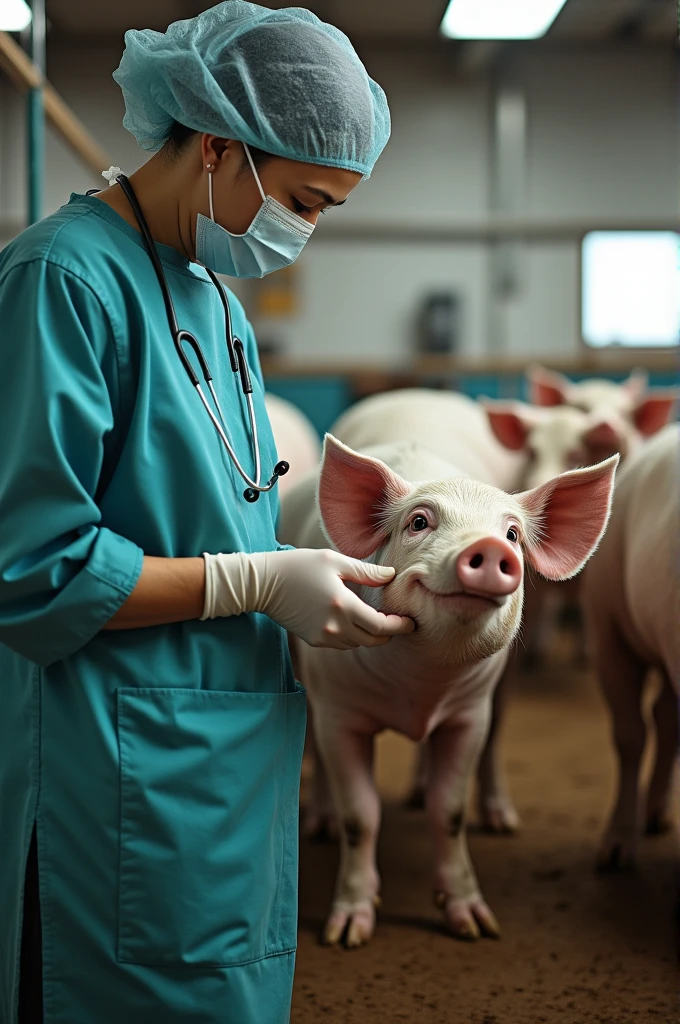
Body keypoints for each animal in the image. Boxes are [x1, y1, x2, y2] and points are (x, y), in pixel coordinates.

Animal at [282, 428, 614, 946]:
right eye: (419, 522)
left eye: (512, 534)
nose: (491, 549)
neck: (420, 686)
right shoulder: (340, 711)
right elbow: (361, 816)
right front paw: (347, 934)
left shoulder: (467, 715)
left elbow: (450, 810)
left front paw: (476, 927)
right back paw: (321, 825)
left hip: (500, 694)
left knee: (493, 740)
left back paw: (496, 820)